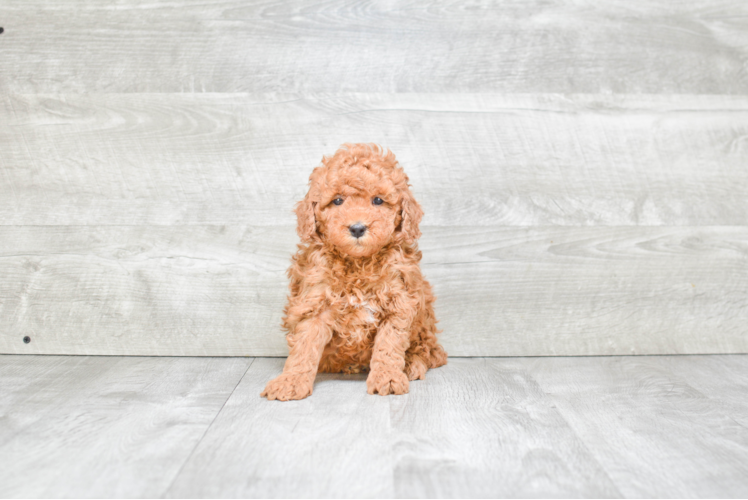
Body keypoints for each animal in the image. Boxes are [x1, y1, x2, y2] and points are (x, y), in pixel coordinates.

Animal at [262, 143, 448, 400]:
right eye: (337, 201)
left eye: (378, 200)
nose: (358, 228)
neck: (358, 264)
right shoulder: (314, 302)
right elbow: (304, 346)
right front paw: (291, 380)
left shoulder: (398, 301)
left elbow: (389, 345)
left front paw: (388, 377)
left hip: (425, 318)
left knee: (431, 352)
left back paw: (412, 364)